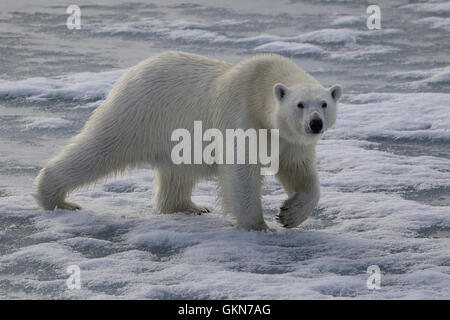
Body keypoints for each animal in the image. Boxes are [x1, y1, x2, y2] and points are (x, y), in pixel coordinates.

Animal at [33, 51, 342, 230]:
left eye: (324, 103)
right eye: (300, 104)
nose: (315, 124)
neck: (261, 84)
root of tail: (133, 71)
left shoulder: (290, 139)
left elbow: (298, 170)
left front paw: (289, 214)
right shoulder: (242, 115)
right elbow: (241, 171)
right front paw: (259, 225)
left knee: (178, 172)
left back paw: (189, 206)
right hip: (138, 114)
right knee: (98, 150)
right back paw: (56, 198)